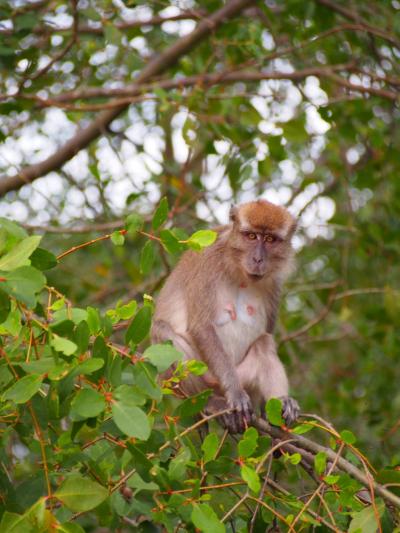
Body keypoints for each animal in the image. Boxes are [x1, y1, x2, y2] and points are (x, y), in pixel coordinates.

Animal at [152, 197, 298, 430]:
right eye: (251, 236)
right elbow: (202, 327)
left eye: (269, 239)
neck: (238, 269)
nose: (258, 259)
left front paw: (273, 407)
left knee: (264, 343)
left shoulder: (275, 284)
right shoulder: (208, 262)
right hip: (198, 376)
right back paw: (210, 403)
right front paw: (235, 392)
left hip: (243, 374)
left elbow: (267, 333)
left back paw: (279, 404)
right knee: (162, 330)